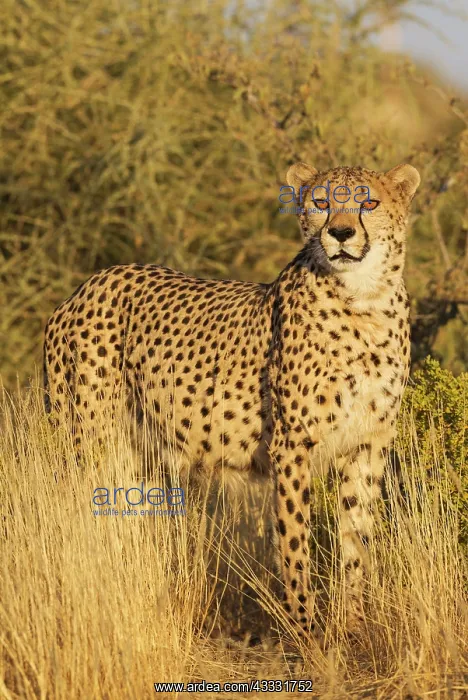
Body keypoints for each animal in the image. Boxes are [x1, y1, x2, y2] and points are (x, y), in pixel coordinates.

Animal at [43, 161, 420, 642]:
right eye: (321, 202)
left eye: (368, 202)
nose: (340, 232)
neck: (364, 300)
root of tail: (89, 283)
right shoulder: (292, 445)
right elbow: (294, 540)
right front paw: (305, 630)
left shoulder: (368, 443)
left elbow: (356, 540)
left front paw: (352, 624)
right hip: (88, 441)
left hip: (136, 457)